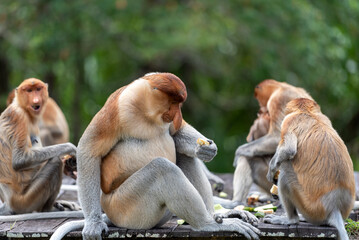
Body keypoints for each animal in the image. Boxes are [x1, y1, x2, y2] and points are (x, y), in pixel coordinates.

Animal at [0, 78, 80, 218]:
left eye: (38, 89)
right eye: (29, 91)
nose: (36, 100)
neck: (23, 108)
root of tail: (8, 204)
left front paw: (69, 163)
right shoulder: (17, 117)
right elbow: (19, 160)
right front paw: (71, 148)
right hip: (25, 201)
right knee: (54, 161)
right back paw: (48, 209)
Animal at [50, 72, 260, 240]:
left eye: (180, 104)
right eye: (174, 102)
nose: (178, 115)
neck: (147, 112)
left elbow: (176, 134)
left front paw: (205, 149)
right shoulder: (117, 107)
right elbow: (89, 149)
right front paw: (93, 225)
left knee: (183, 156)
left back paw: (218, 215)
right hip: (125, 208)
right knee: (162, 168)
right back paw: (207, 225)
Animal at [266, 98, 356, 240]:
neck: (307, 112)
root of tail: (334, 207)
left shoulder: (288, 121)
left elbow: (289, 150)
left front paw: (271, 172)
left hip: (311, 208)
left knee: (285, 173)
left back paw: (291, 220)